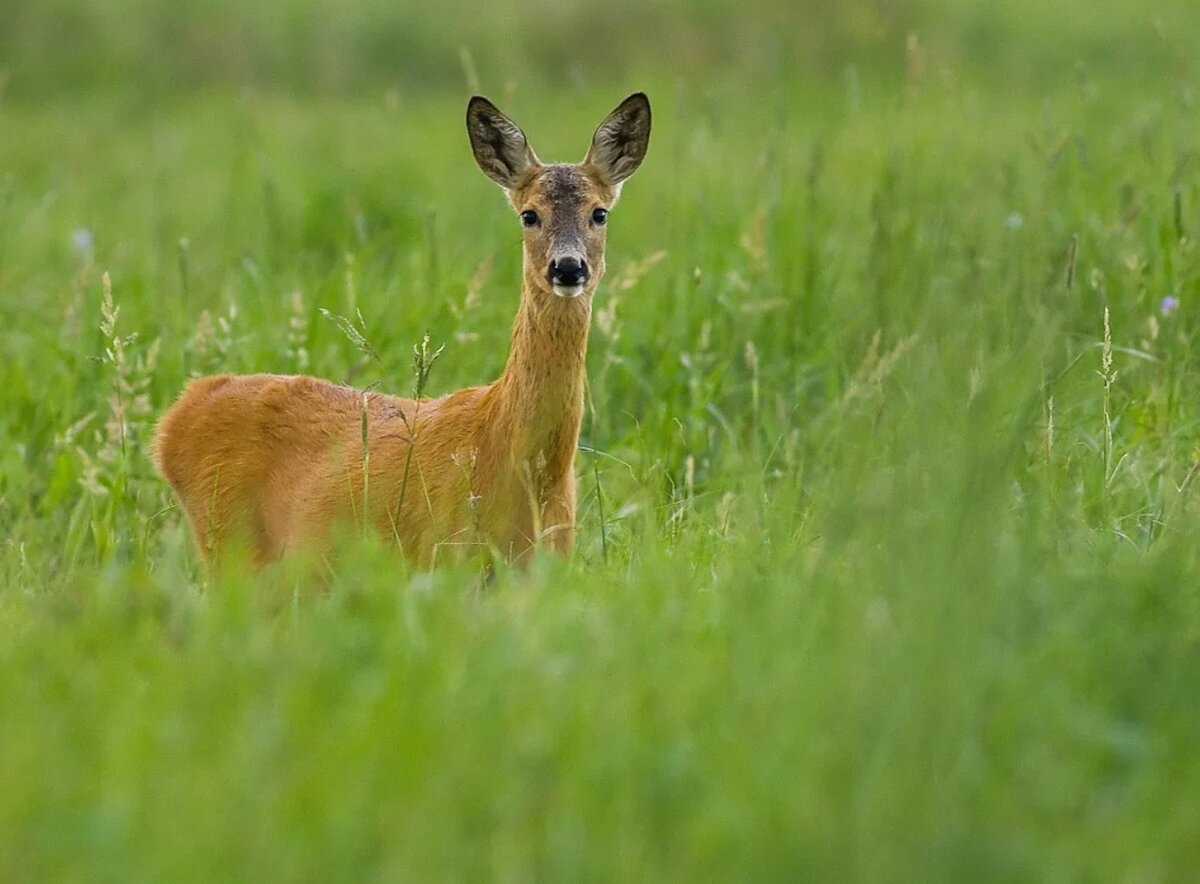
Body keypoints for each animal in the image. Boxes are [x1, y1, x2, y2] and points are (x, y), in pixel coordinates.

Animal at [157, 92, 657, 568]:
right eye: (529, 215)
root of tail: (178, 414)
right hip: (229, 543)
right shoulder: (446, 553)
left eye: (599, 213)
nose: (568, 267)